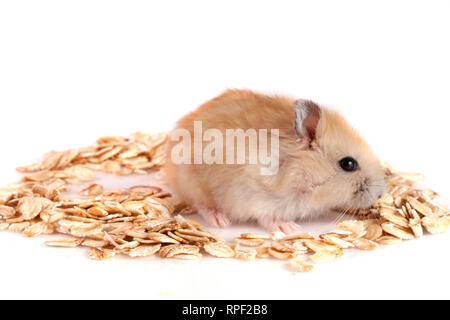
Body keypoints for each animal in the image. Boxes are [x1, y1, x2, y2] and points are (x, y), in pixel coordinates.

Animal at [163, 89, 384, 234]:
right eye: (348, 164)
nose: (381, 194)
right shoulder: (253, 197)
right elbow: (267, 216)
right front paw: (289, 228)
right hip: (193, 183)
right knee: (200, 204)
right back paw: (220, 221)